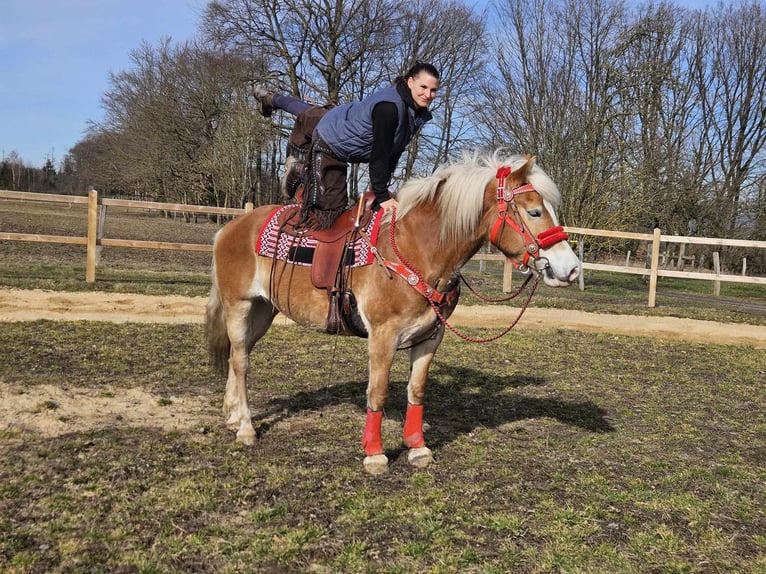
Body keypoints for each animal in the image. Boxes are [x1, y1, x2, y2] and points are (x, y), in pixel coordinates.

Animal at [206, 151, 584, 474]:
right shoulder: (383, 336)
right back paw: (246, 428)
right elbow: (378, 393)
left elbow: (416, 391)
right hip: (239, 305)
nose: (570, 269)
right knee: (241, 361)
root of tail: (229, 228)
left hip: (263, 310)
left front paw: (418, 448)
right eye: (534, 212)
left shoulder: (431, 336)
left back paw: (231, 415)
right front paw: (374, 455)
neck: (419, 251)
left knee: (237, 355)